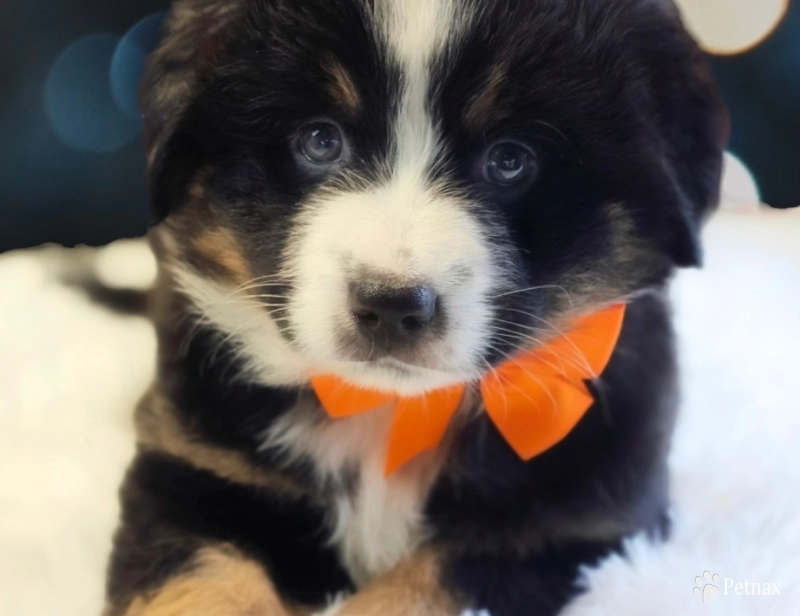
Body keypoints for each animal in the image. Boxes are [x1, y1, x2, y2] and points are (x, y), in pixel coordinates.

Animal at [104, 1, 724, 616]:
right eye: (320, 140)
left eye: (510, 159)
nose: (391, 305)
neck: (393, 411)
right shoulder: (194, 464)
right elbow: (204, 579)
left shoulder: (579, 521)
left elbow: (429, 581)